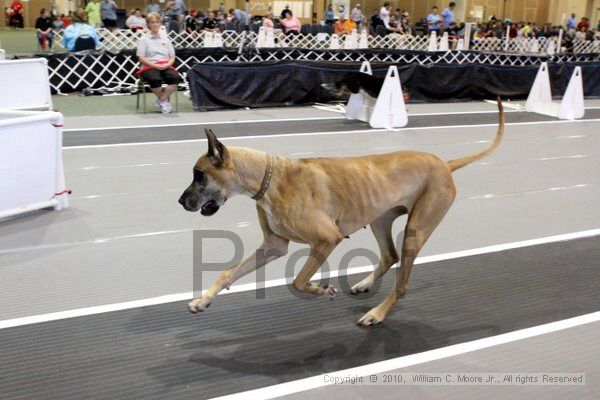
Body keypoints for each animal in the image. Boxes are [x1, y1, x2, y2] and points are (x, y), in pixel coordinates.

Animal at [179, 99, 506, 324]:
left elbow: (298, 281)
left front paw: (322, 290)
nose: (181, 202)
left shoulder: (326, 239)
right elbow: (228, 273)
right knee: (389, 256)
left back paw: (377, 313)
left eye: (199, 175)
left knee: (402, 282)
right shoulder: (273, 246)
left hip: (416, 230)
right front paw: (203, 301)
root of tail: (445, 165)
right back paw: (365, 284)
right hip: (380, 220)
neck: (271, 177)